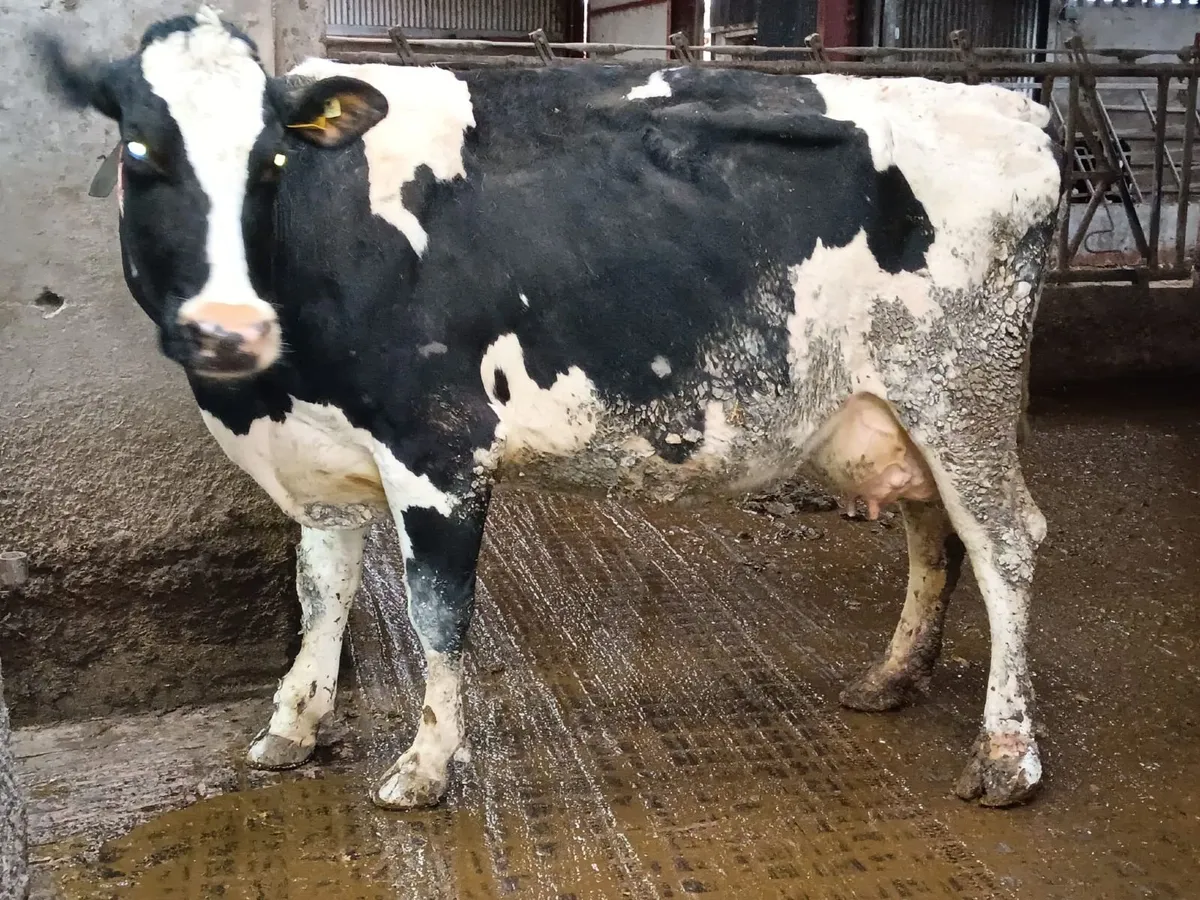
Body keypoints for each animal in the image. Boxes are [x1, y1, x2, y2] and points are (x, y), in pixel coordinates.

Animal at [38, 6, 1062, 811]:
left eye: (271, 159)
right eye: (140, 152)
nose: (227, 329)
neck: (265, 392)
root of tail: (1011, 106)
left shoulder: (438, 449)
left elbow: (436, 612)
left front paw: (424, 765)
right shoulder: (320, 458)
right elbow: (320, 591)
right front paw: (293, 725)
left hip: (959, 389)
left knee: (1007, 542)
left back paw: (1006, 755)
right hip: (901, 408)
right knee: (934, 530)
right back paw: (892, 678)